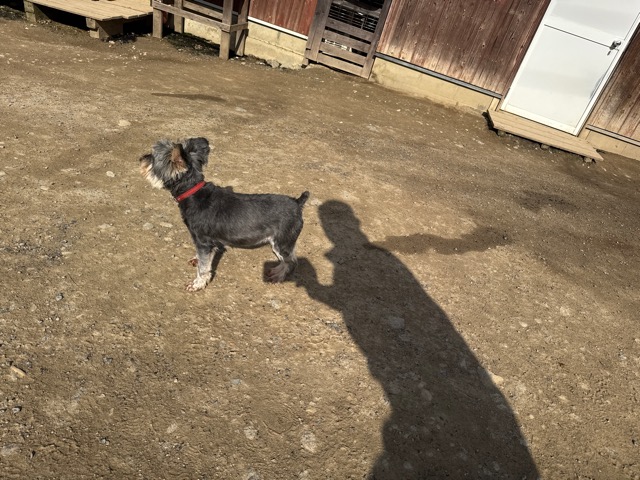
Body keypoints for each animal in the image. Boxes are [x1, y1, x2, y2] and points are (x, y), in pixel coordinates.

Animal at [139, 137, 309, 291]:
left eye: (153, 157)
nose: (141, 158)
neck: (192, 192)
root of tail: (297, 203)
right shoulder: (206, 243)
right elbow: (204, 259)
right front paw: (196, 260)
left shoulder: (203, 242)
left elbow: (203, 268)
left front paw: (197, 284)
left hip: (282, 242)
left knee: (291, 262)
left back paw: (278, 275)